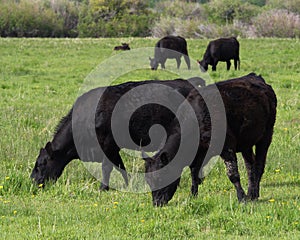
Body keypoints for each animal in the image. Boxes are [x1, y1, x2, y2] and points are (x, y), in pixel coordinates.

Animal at [31, 78, 206, 190]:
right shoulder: (113, 149)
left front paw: (103, 188)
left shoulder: (107, 145)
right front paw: (127, 185)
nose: (32, 182)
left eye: (41, 164)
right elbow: (120, 166)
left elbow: (107, 168)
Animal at [143, 73, 276, 206]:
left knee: (259, 164)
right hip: (246, 142)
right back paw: (251, 193)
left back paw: (253, 194)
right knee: (250, 165)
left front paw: (241, 197)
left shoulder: (227, 146)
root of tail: (255, 76)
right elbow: (195, 173)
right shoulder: (199, 152)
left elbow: (233, 174)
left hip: (266, 135)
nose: (156, 203)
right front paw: (193, 196)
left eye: (160, 178)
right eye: (148, 180)